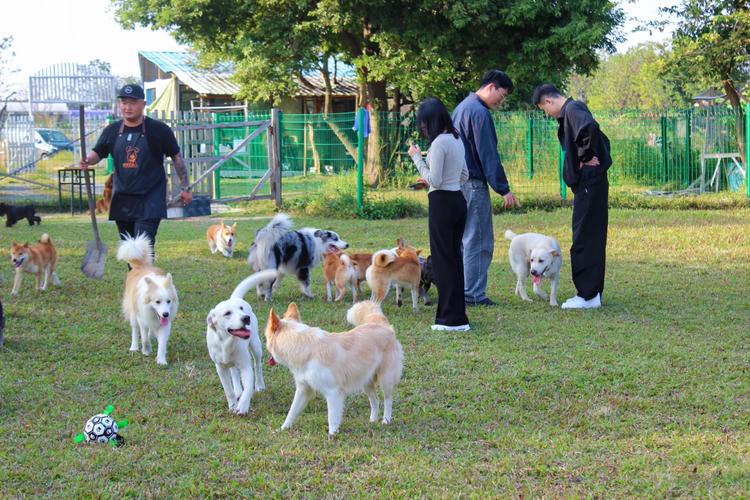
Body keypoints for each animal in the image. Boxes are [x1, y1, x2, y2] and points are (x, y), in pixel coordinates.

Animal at [118, 234, 181, 368]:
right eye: (157, 302)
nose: (165, 314)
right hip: (133, 315)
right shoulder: (142, 319)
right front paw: (146, 351)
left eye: (169, 301)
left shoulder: (164, 325)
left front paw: (161, 360)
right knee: (135, 330)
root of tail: (140, 266)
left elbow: (161, 343)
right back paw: (134, 347)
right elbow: (144, 338)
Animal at [209, 270, 280, 414]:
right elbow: (228, 390)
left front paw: (242, 406)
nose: (246, 318)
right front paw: (232, 406)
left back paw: (259, 385)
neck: (227, 343)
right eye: (227, 313)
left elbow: (248, 388)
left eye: (241, 309)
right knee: (234, 372)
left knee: (257, 366)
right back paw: (237, 390)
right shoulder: (220, 368)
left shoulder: (246, 366)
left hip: (256, 346)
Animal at [266, 298, 406, 436]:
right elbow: (292, 411)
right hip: (365, 381)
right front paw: (283, 429)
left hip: (386, 379)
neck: (303, 345)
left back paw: (386, 421)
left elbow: (332, 417)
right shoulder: (303, 389)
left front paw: (332, 435)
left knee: (388, 400)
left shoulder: (333, 392)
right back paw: (372, 421)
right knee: (375, 400)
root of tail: (382, 324)